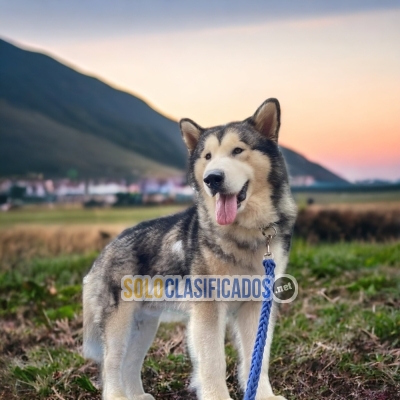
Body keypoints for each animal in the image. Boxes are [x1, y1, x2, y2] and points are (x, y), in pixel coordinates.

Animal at [83, 97, 296, 400]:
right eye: (207, 156)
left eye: (238, 150)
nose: (212, 178)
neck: (246, 233)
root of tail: (108, 246)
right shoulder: (208, 308)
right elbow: (213, 362)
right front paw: (218, 397)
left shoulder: (256, 304)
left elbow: (258, 359)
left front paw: (264, 396)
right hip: (118, 324)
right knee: (111, 366)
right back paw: (118, 395)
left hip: (144, 324)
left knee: (130, 363)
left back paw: (137, 395)